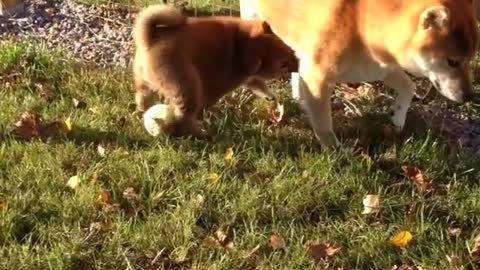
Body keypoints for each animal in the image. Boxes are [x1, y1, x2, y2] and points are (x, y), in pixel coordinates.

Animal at [249, 0, 478, 148]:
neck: (361, 24)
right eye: (452, 62)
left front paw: (397, 118)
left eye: (470, 59)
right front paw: (335, 152)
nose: (469, 96)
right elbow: (324, 125)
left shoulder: (381, 68)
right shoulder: (318, 77)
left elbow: (409, 86)